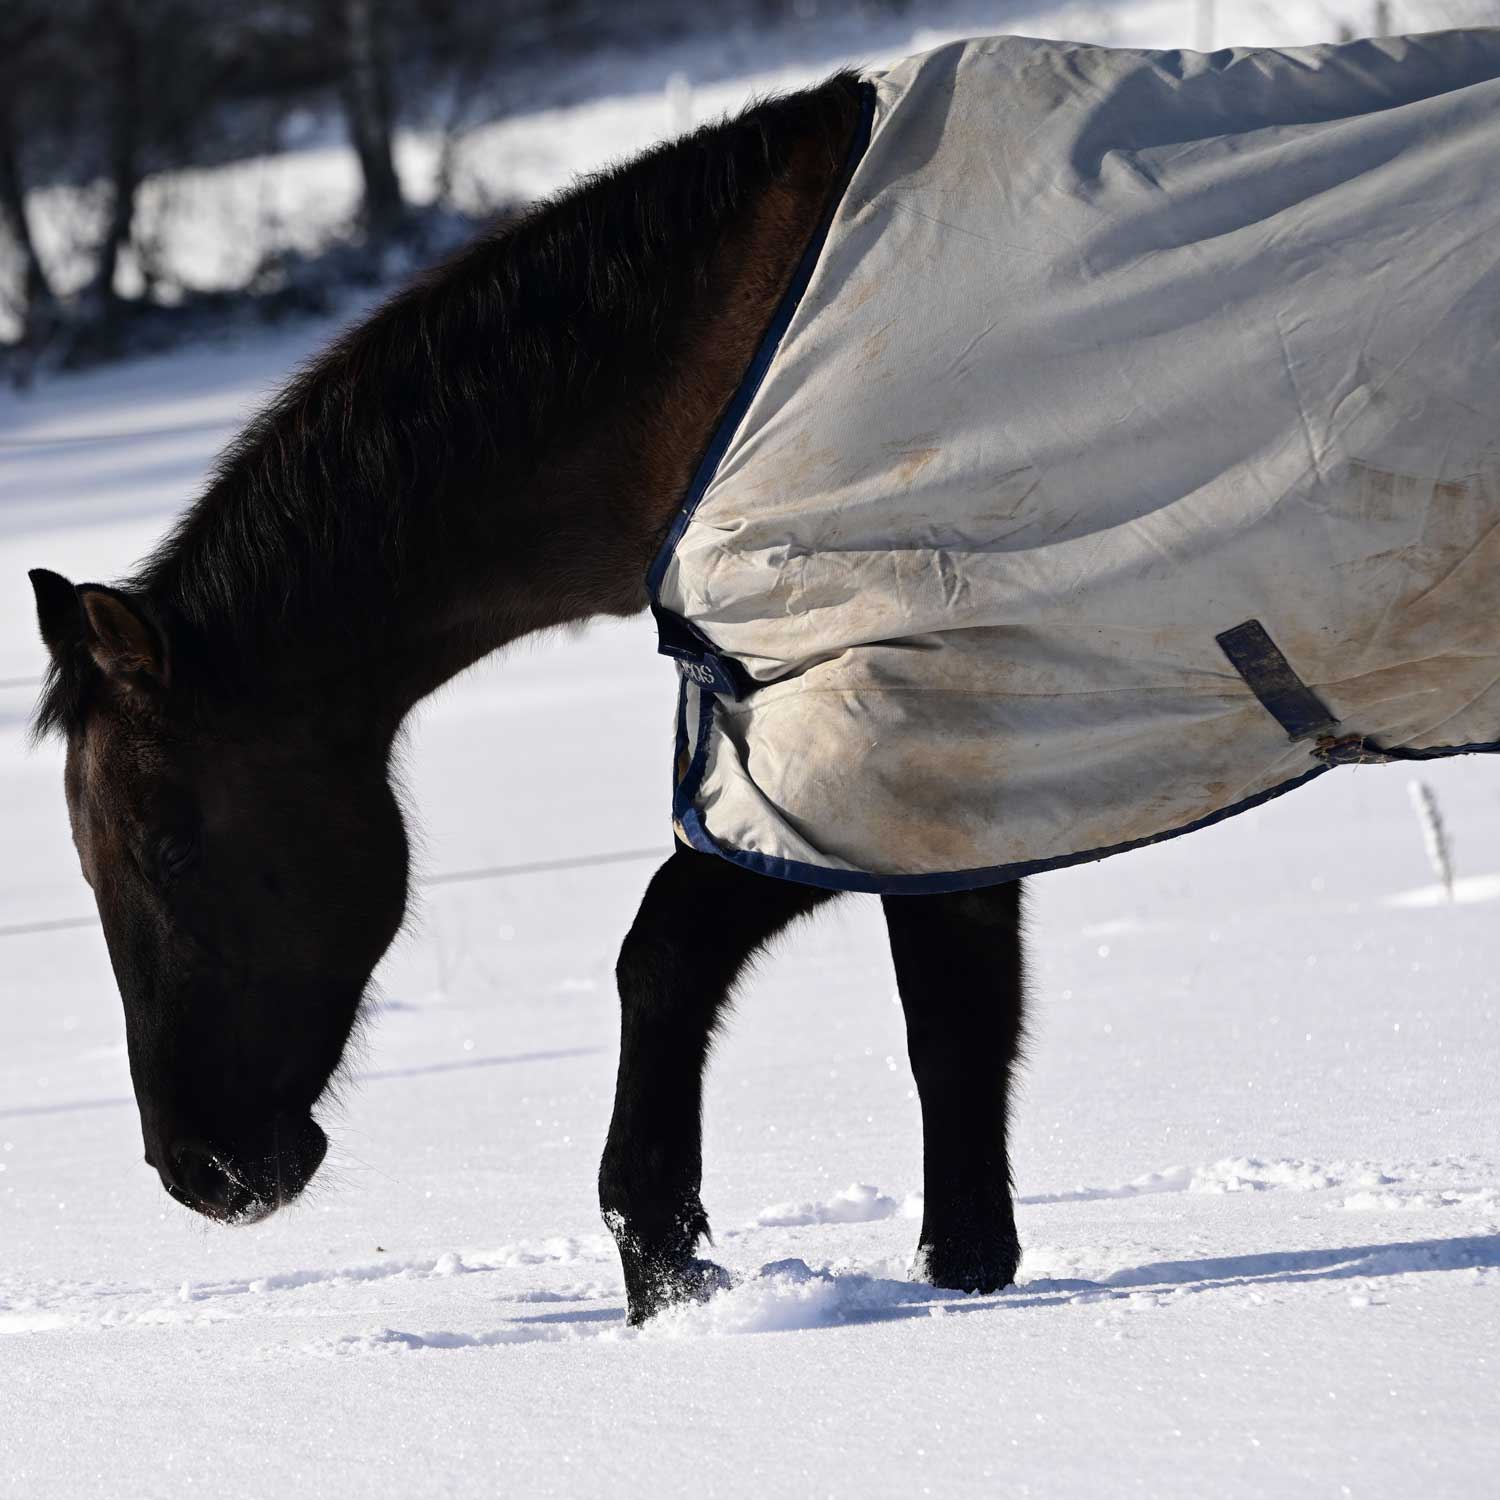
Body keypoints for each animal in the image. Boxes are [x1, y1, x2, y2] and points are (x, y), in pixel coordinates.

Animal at [29, 31, 1500, 1326]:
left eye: (165, 848)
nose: (202, 1172)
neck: (719, 379)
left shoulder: (867, 741)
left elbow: (666, 960)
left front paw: (670, 1272)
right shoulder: (960, 768)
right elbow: (957, 1039)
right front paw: (959, 1287)